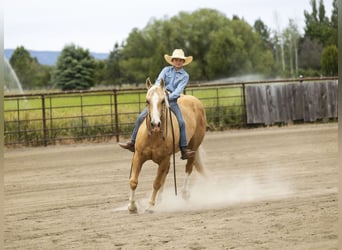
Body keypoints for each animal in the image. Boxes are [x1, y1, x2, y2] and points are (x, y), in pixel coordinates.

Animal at [127, 77, 206, 212]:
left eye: (163, 100)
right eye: (147, 101)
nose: (155, 124)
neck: (154, 136)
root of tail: (195, 101)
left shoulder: (164, 159)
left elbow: (156, 183)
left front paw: (150, 206)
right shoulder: (138, 155)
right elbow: (134, 181)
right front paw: (132, 206)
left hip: (193, 147)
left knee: (188, 168)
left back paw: (184, 193)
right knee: (167, 172)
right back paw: (160, 199)